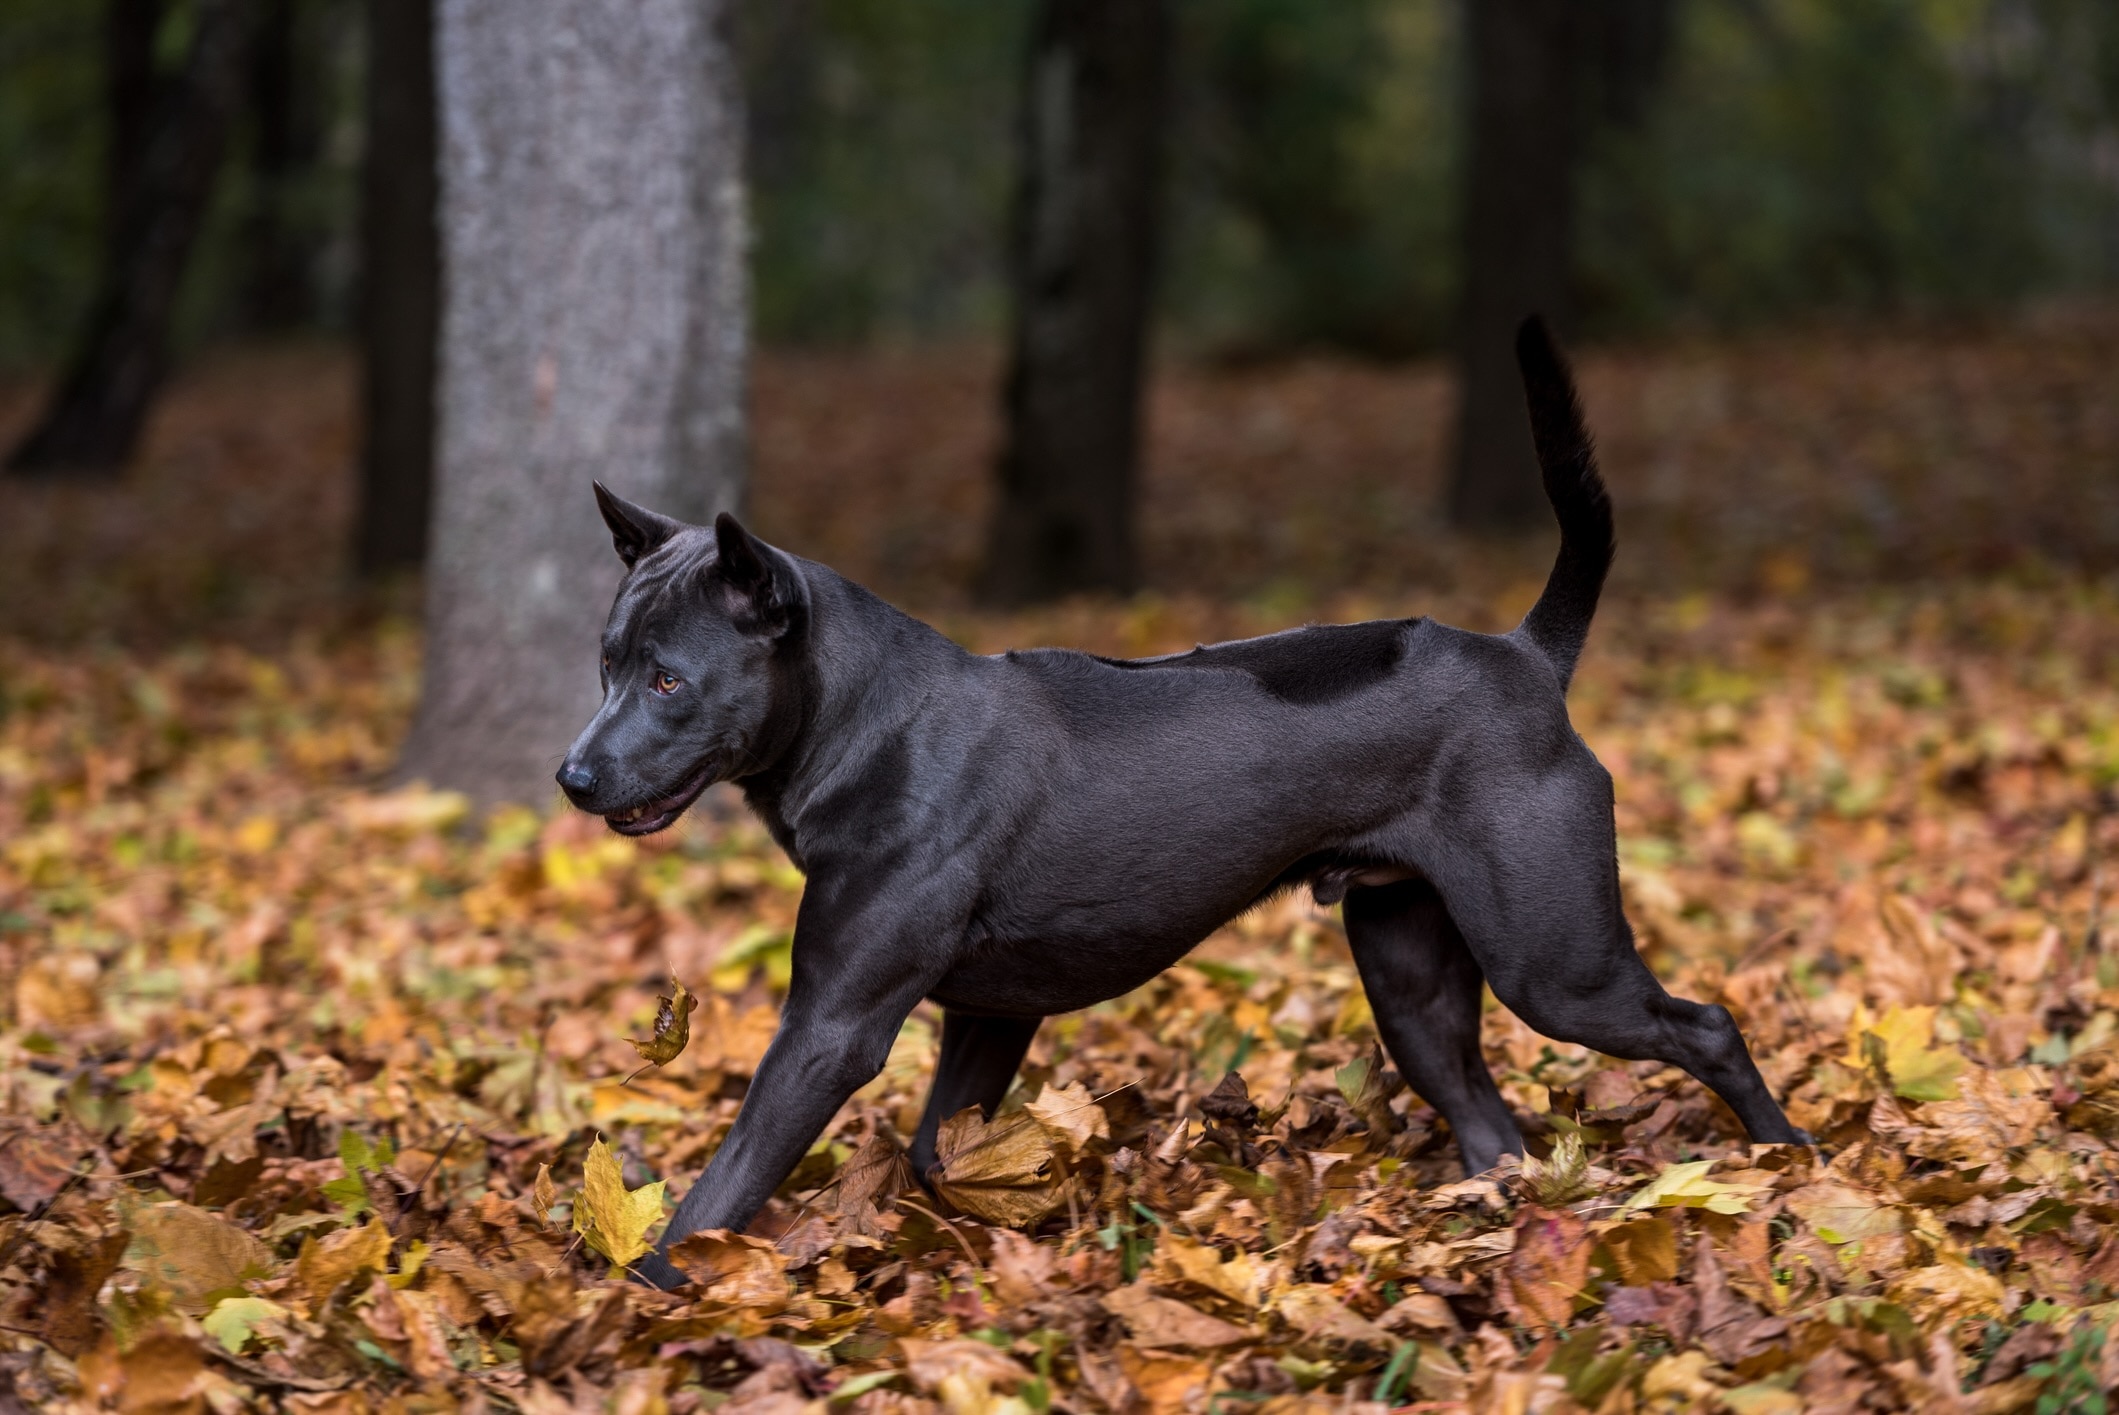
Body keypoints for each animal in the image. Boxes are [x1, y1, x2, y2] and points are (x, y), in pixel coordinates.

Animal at [555, 324, 1796, 1296]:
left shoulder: (832, 1023)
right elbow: (937, 1152)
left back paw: (1786, 1161)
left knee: (1708, 1025)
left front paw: (651, 1286)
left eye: (667, 679)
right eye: (605, 663)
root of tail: (1526, 656)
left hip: (1554, 958)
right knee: (1491, 1121)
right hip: (1410, 972)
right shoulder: (986, 1014)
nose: (571, 777)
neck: (866, 720)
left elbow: (727, 1180)